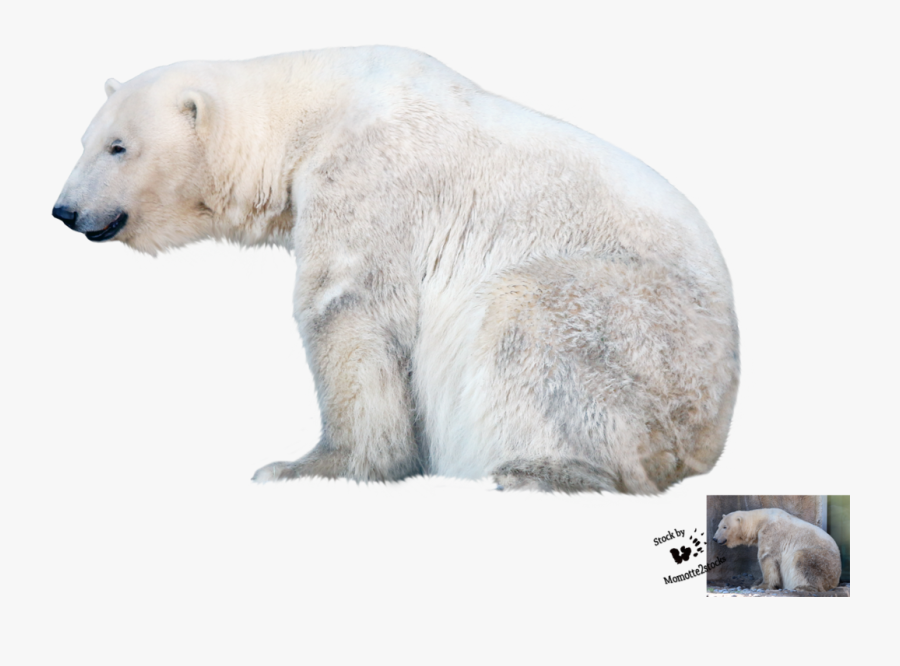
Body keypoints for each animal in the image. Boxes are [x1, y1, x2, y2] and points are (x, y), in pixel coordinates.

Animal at [52, 47, 740, 493]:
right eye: (84, 141)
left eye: (119, 146)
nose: (64, 210)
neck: (309, 111)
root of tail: (709, 440)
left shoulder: (366, 177)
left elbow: (349, 312)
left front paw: (307, 468)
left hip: (644, 337)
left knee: (529, 319)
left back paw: (536, 470)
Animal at [713, 509, 842, 592]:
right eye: (719, 526)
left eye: (725, 527)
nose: (714, 538)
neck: (761, 520)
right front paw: (757, 582)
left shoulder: (771, 532)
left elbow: (767, 558)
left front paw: (761, 586)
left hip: (824, 561)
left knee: (802, 560)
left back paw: (802, 587)